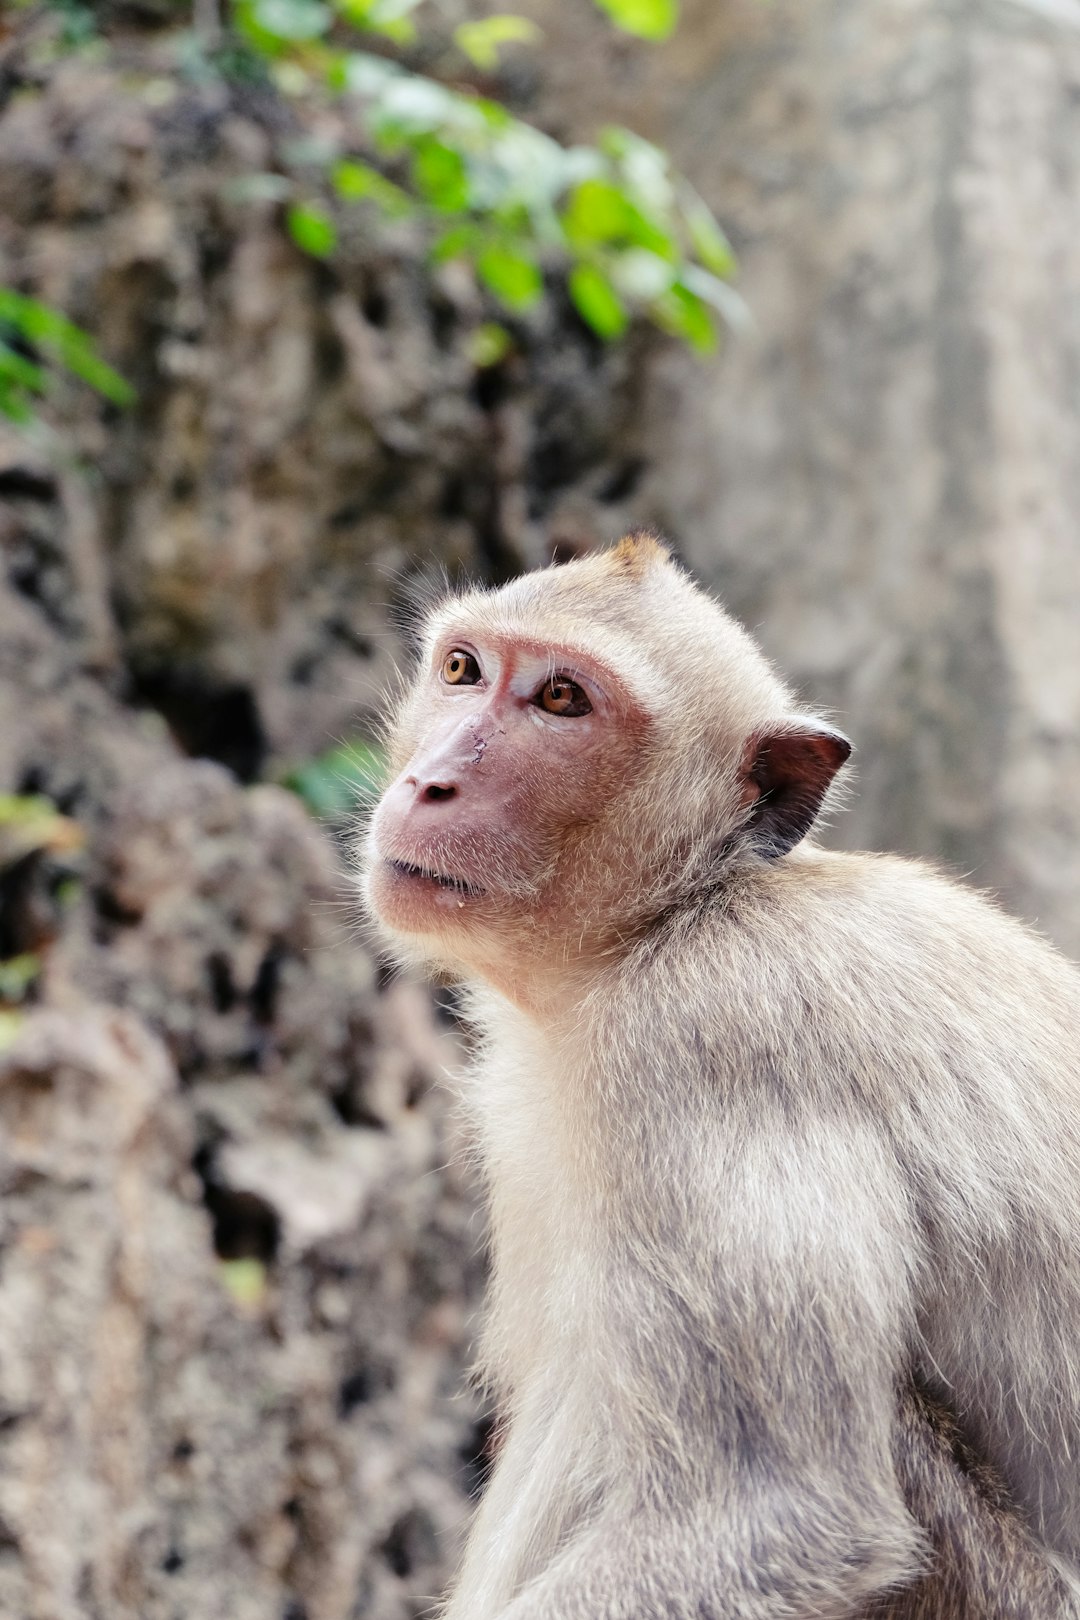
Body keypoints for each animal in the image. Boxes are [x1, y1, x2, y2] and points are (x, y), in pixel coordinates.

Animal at [362, 534, 1080, 1620]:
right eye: (462, 670)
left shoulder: (702, 1043)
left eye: (562, 700)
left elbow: (782, 1514)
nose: (430, 781)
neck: (681, 912)